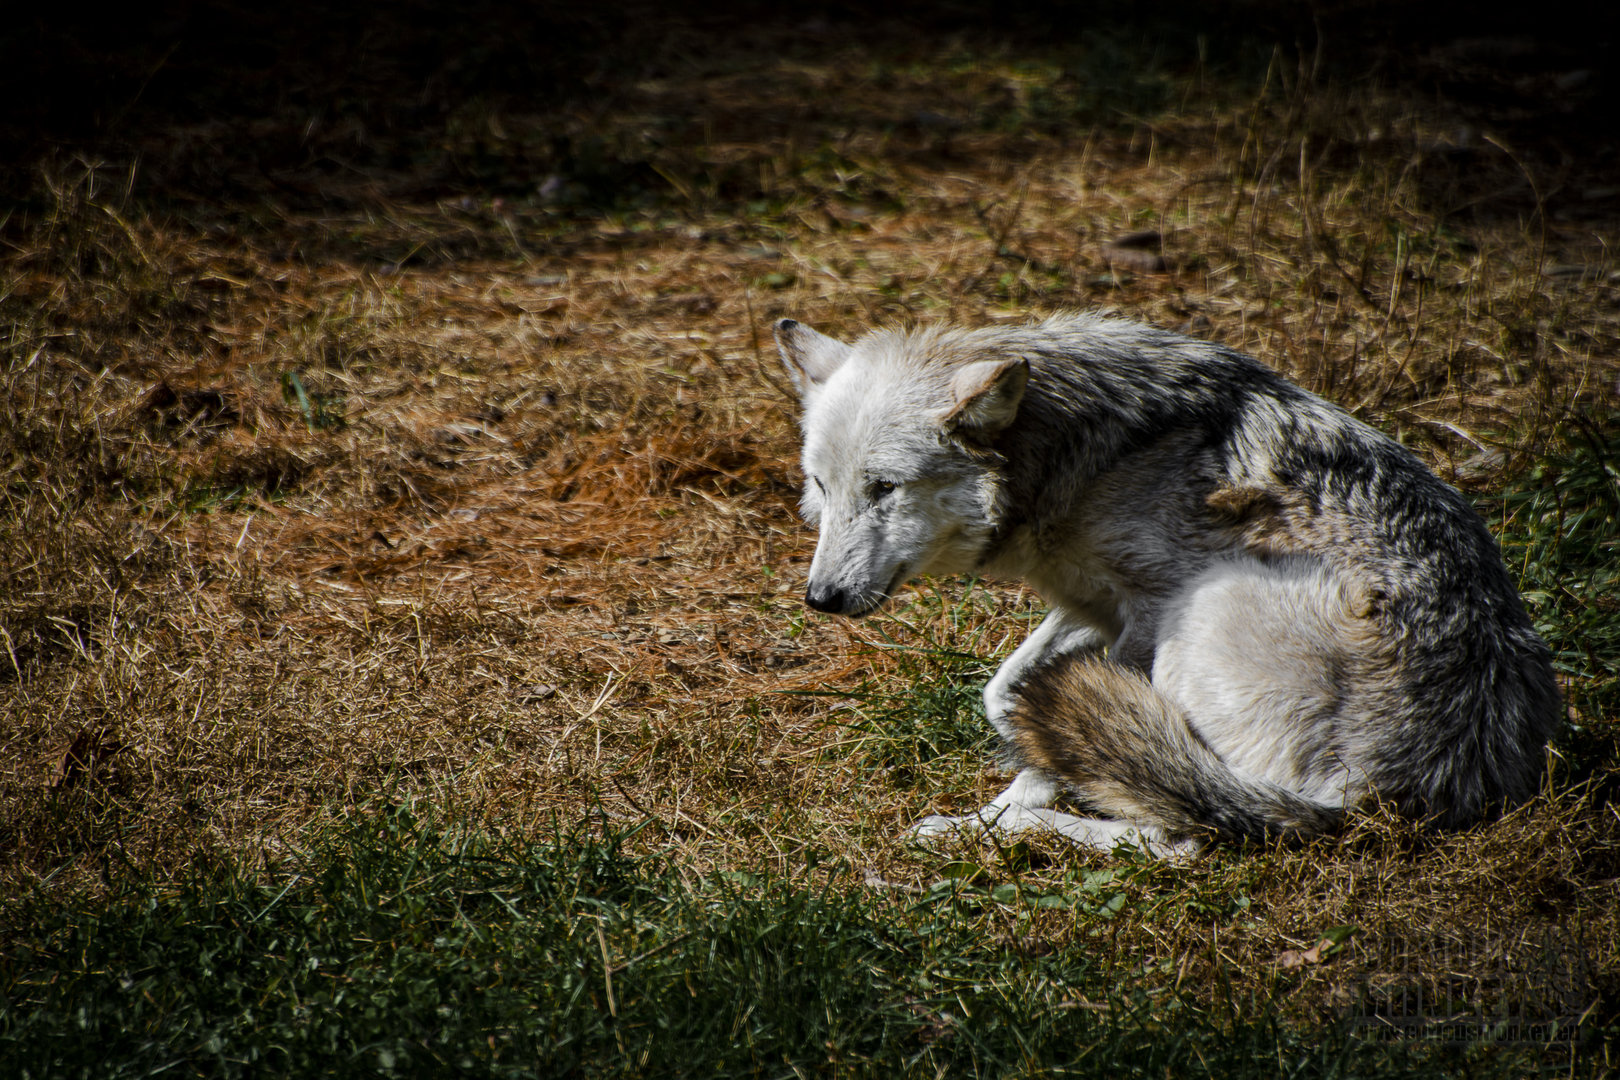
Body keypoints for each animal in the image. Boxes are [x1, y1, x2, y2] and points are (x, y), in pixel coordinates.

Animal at [775, 312, 1559, 855]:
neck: (1088, 457)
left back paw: (1016, 831)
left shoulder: (1149, 610)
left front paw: (1001, 808)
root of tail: (1390, 793)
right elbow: (1006, 691)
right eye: (823, 485)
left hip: (1205, 605)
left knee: (1185, 838)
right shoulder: (1091, 604)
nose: (821, 601)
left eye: (884, 489)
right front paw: (1017, 755)